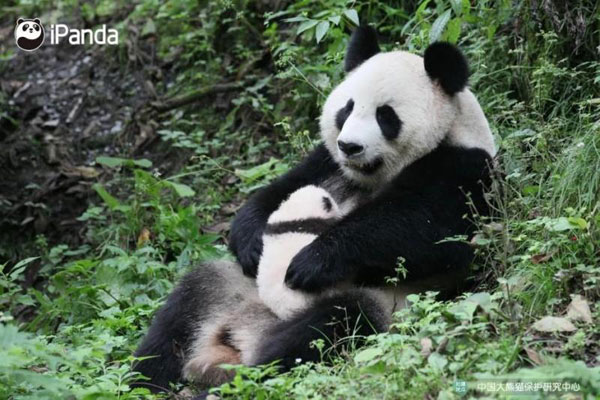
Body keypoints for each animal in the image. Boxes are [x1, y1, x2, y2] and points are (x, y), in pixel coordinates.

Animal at [134, 26, 494, 392]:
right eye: (347, 108)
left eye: (385, 115)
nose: (349, 146)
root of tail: (238, 341)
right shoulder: (326, 163)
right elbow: (278, 192)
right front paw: (252, 244)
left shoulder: (462, 168)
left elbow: (426, 233)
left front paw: (312, 261)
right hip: (230, 288)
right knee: (187, 305)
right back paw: (144, 380)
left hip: (385, 303)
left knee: (334, 320)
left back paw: (256, 372)